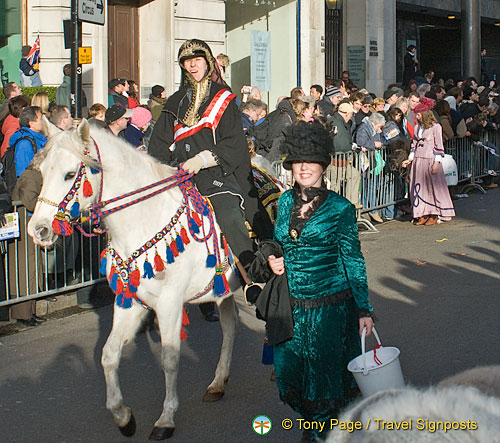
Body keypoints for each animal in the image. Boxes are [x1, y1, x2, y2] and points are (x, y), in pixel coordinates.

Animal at [27, 119, 238, 442]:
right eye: (41, 171)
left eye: (70, 174)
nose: (37, 230)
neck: (143, 221)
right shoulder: (130, 302)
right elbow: (108, 355)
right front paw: (123, 417)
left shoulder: (169, 303)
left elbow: (169, 358)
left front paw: (165, 419)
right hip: (224, 292)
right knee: (229, 329)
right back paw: (217, 382)